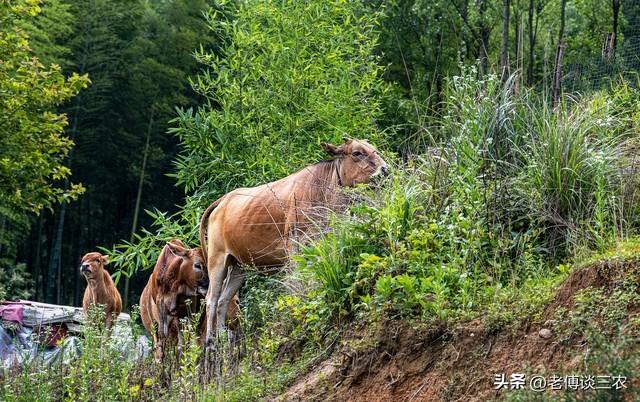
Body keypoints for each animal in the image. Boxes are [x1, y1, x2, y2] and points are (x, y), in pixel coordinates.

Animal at [200, 140, 388, 360]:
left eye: (375, 149)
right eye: (357, 153)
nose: (385, 169)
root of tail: (223, 200)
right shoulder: (295, 247)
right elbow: (298, 280)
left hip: (238, 265)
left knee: (223, 299)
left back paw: (224, 340)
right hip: (217, 259)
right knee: (211, 299)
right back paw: (211, 343)